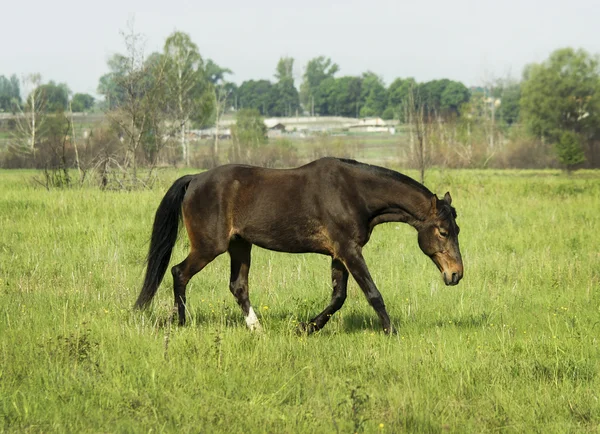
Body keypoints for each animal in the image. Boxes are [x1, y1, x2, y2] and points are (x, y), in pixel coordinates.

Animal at [135, 158, 464, 334]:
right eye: (443, 232)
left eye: (457, 229)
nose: (456, 275)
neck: (353, 193)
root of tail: (194, 180)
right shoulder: (349, 250)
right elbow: (373, 294)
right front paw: (391, 332)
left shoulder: (339, 253)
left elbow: (338, 297)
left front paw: (307, 328)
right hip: (209, 246)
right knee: (179, 273)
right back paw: (181, 322)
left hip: (240, 245)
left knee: (238, 287)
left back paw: (257, 329)